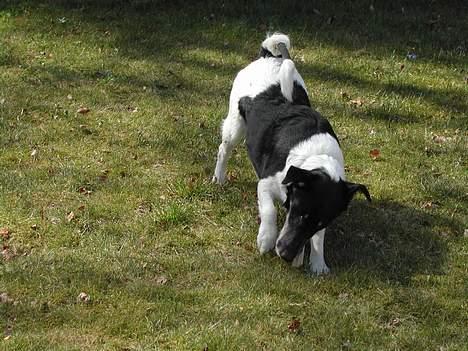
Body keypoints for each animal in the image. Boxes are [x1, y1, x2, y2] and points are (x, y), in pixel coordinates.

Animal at [214, 33, 372, 276]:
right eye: (300, 214)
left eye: (320, 223)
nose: (287, 256)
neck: (314, 156)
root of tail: (267, 56)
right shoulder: (266, 183)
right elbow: (269, 210)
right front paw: (266, 238)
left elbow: (318, 239)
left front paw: (317, 262)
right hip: (235, 125)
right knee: (224, 149)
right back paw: (219, 178)